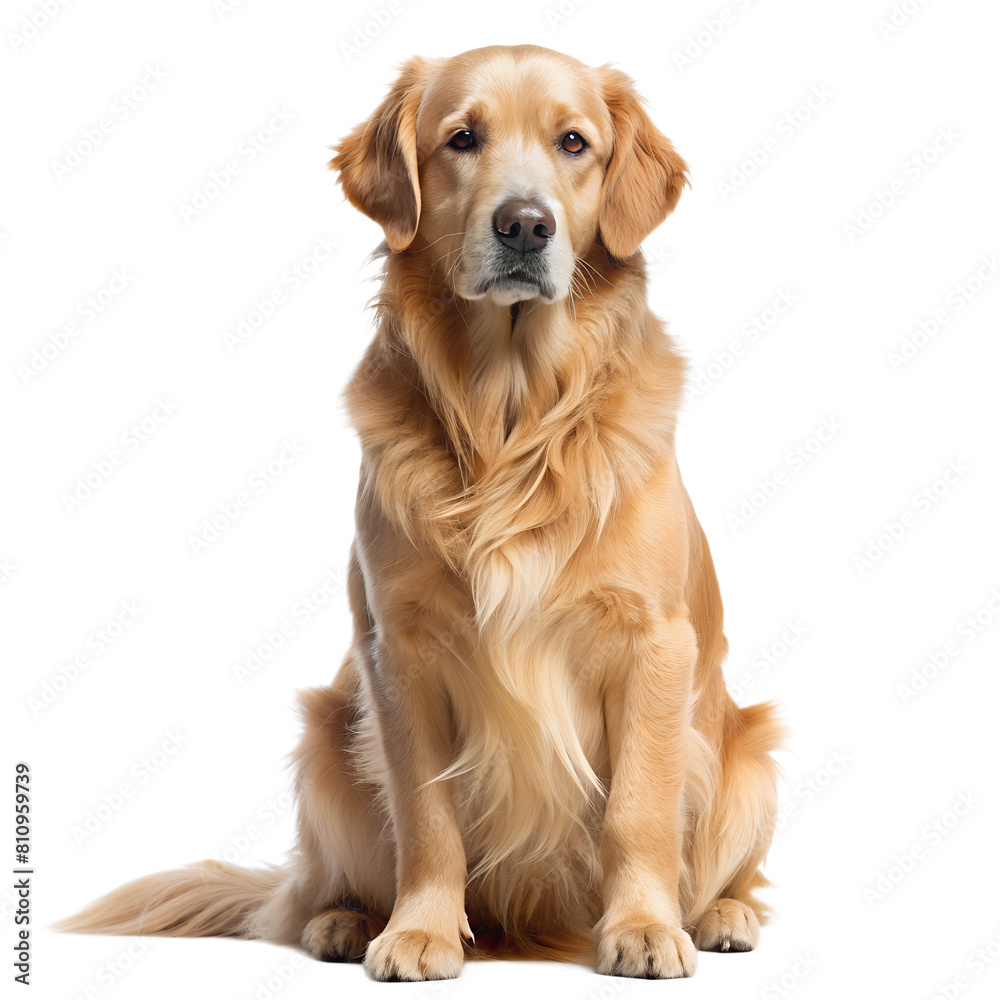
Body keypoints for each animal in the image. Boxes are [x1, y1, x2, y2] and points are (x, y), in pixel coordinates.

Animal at [60, 45, 780, 976]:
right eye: (462, 139)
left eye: (574, 143)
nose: (524, 225)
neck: (508, 415)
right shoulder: (399, 649)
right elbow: (427, 818)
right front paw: (421, 931)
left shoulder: (654, 641)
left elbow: (638, 808)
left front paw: (646, 927)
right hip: (326, 740)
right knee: (314, 887)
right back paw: (343, 920)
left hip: (750, 760)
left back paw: (723, 913)